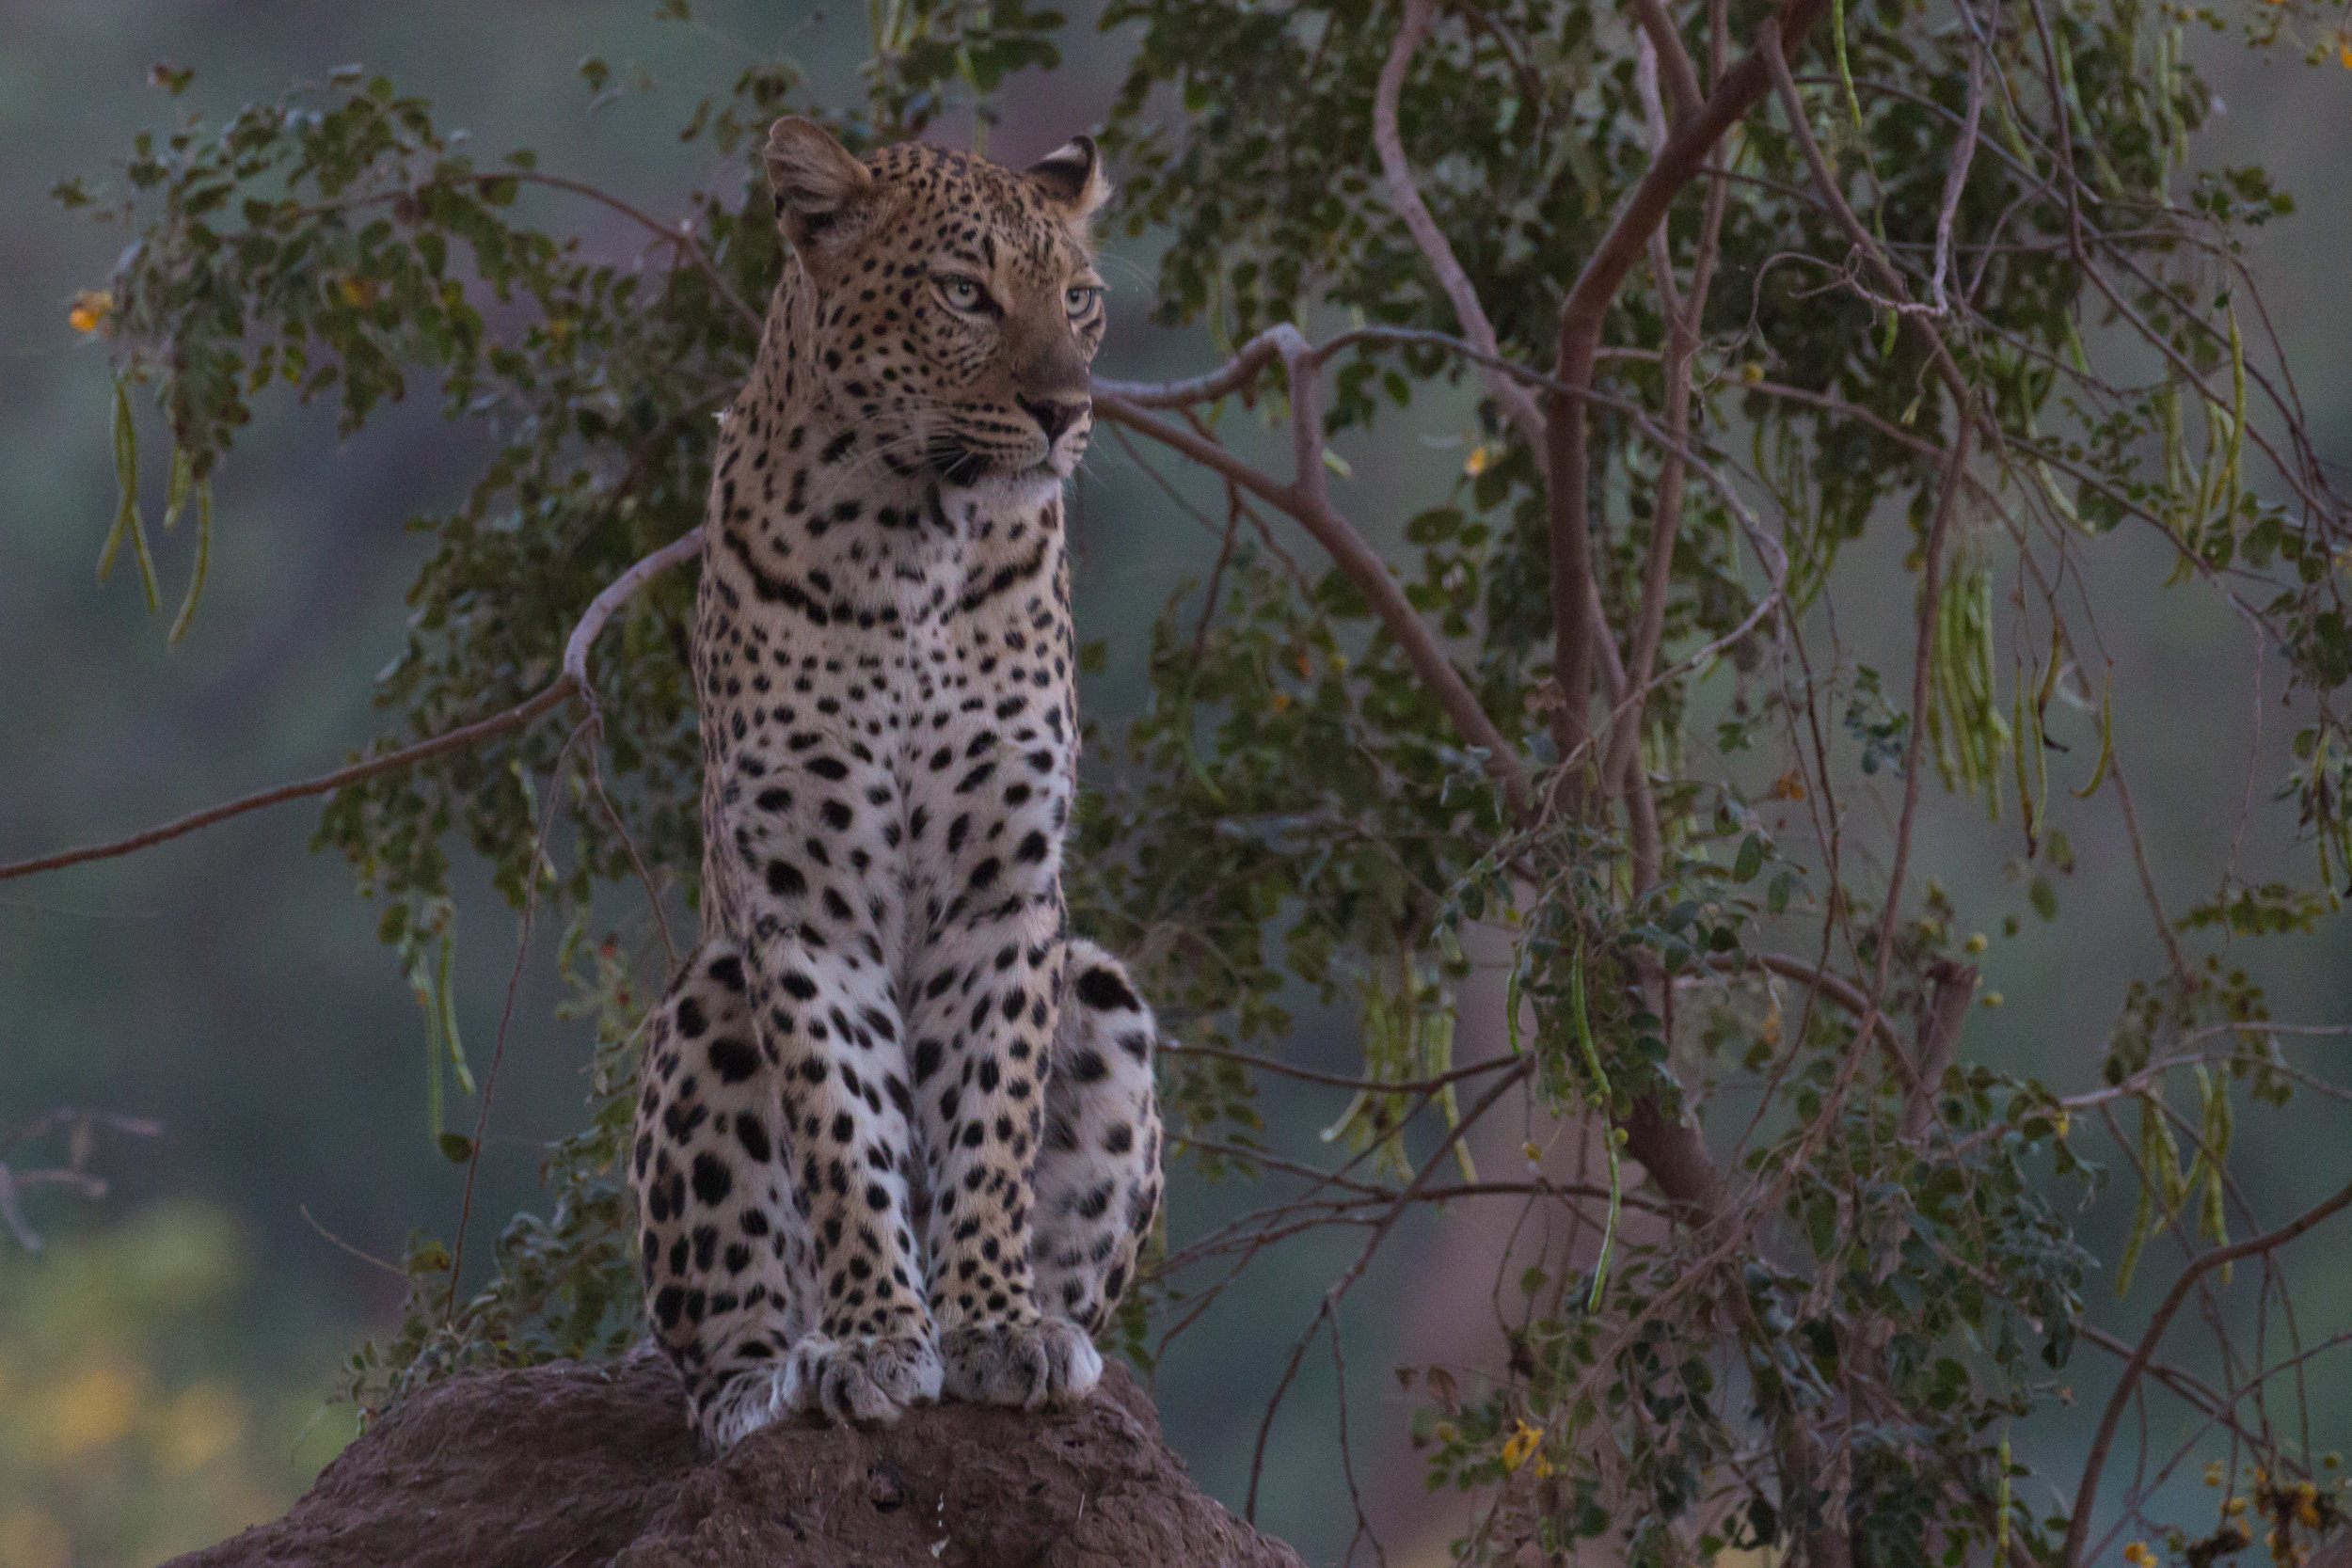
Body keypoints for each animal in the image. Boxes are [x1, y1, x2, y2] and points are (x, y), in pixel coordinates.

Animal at [626, 116, 1167, 1457]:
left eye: (1079, 302)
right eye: (964, 294)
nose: (1063, 410)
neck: (912, 537)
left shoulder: (1004, 889)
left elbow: (989, 1112)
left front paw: (995, 1323)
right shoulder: (800, 894)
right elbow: (843, 1117)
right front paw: (875, 1337)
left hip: (1104, 986)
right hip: (705, 997)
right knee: (707, 1355)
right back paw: (766, 1381)